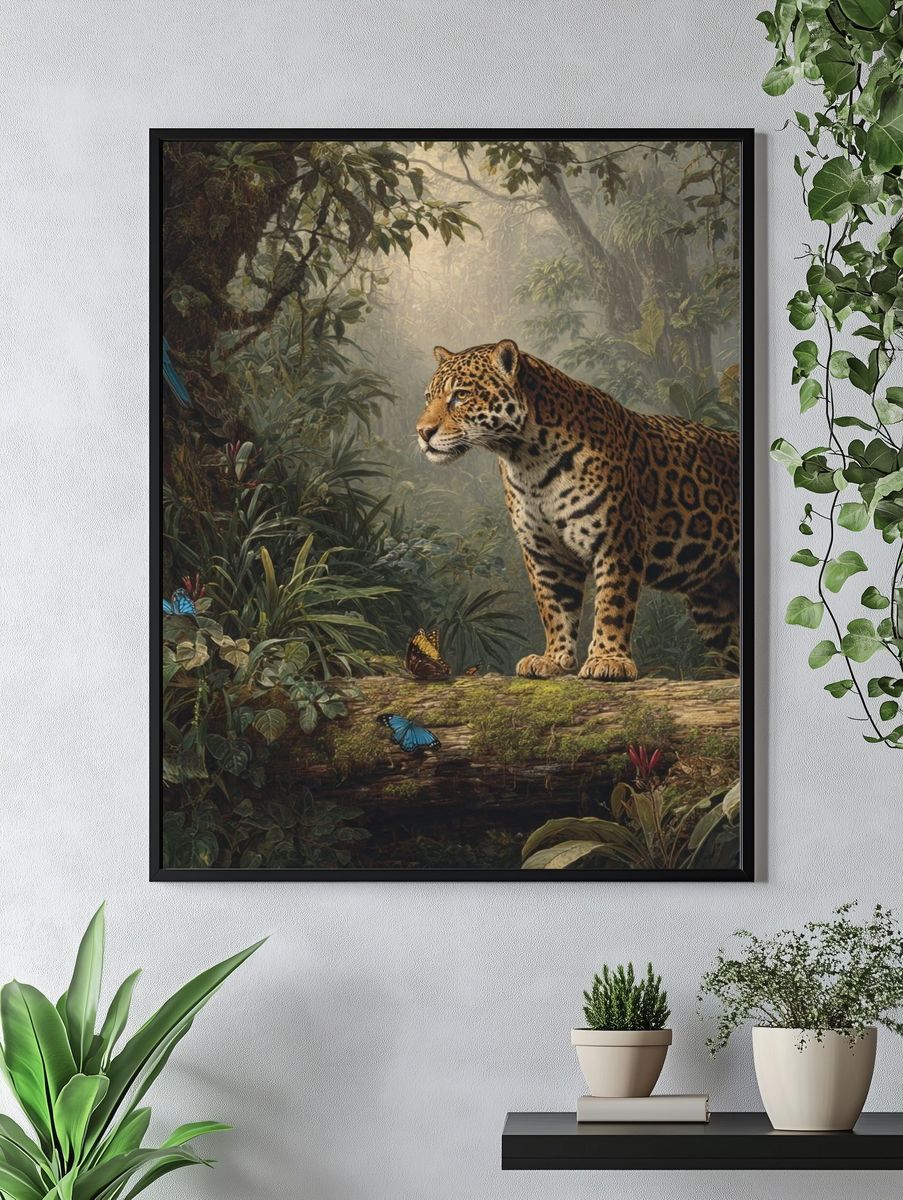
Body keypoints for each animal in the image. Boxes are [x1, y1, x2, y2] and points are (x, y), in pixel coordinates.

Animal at [415, 339, 740, 681]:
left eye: (460, 395)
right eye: (428, 398)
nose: (422, 432)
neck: (527, 460)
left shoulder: (619, 539)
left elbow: (612, 603)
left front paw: (608, 660)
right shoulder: (545, 552)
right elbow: (554, 609)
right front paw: (553, 659)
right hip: (714, 603)